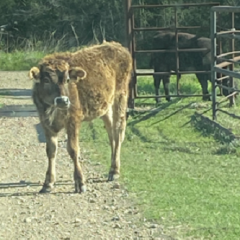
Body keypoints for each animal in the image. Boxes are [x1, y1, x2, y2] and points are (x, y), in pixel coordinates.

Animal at [29, 40, 133, 192]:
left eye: (67, 80)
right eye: (46, 80)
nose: (63, 100)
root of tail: (117, 45)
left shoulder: (73, 120)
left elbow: (73, 149)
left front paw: (80, 181)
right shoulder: (45, 123)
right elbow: (51, 150)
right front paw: (48, 182)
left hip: (120, 97)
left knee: (119, 132)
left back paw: (114, 170)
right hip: (105, 107)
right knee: (111, 134)